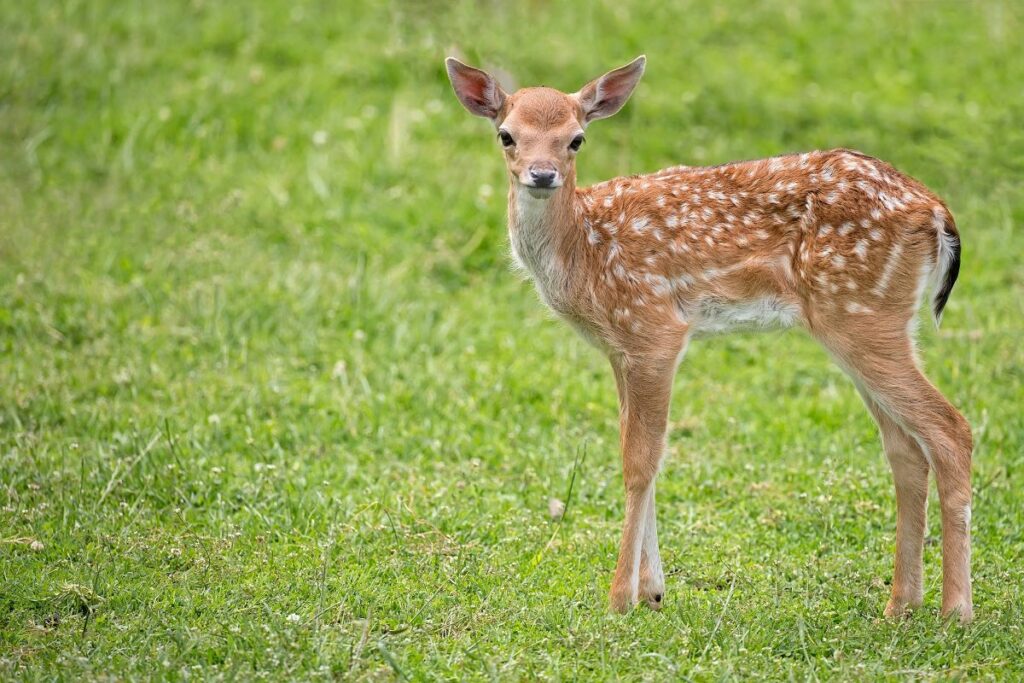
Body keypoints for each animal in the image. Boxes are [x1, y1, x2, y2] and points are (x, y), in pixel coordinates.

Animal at [444, 56, 970, 622]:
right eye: (506, 135)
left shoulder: (654, 329)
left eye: (576, 139)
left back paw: (956, 611)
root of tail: (937, 212)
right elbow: (640, 451)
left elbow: (640, 461)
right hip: (870, 322)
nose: (543, 174)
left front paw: (620, 598)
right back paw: (901, 604)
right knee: (905, 449)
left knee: (950, 430)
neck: (585, 252)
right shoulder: (621, 348)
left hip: (862, 316)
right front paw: (652, 591)